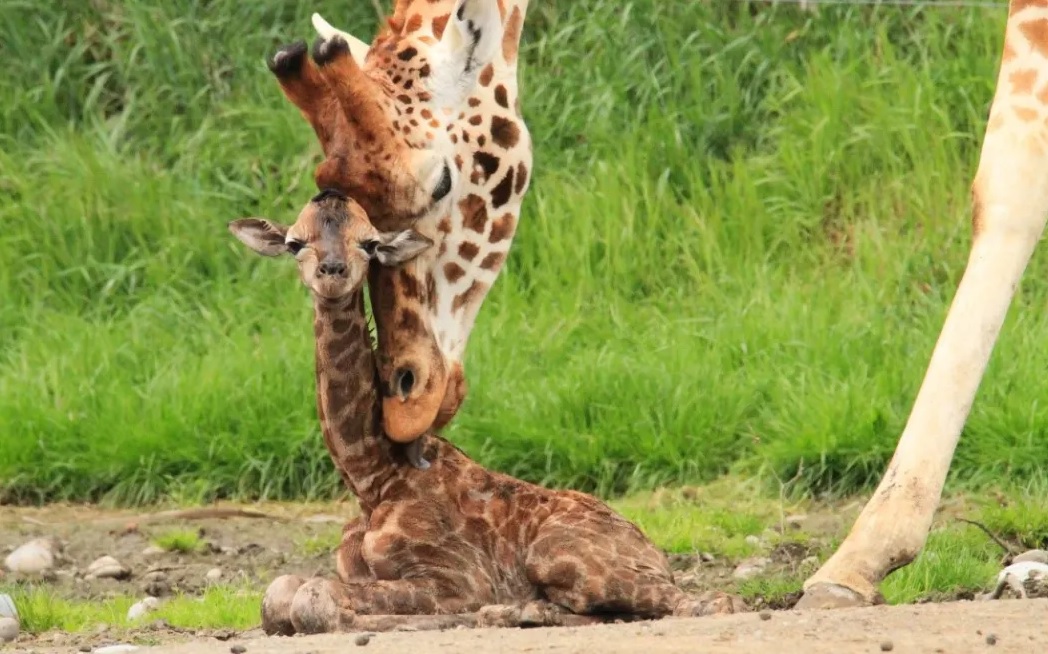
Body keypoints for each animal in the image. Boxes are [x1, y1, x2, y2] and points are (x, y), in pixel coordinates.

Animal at [229, 190, 746, 637]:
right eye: (295, 243)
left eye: (370, 243)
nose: (332, 272)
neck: (371, 479)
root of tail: (656, 554)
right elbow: (279, 594)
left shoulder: (458, 578)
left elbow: (313, 599)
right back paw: (523, 613)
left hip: (554, 553)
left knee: (710, 602)